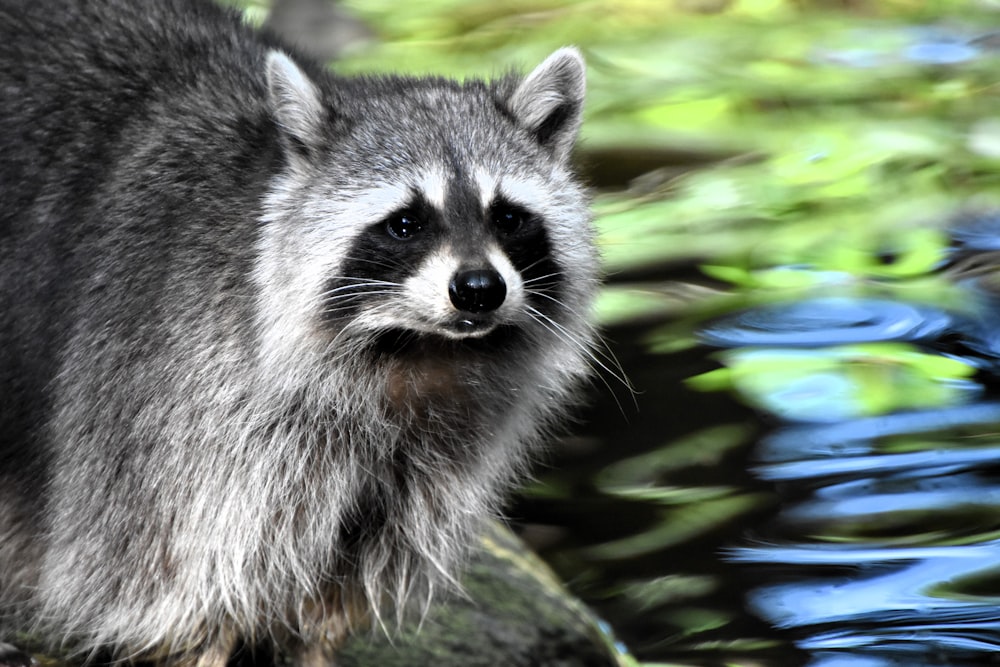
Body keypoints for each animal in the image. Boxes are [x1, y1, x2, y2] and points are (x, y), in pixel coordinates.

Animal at [0, 0, 592, 664]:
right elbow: (174, 584)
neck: (412, 353)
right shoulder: (175, 394)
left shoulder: (427, 461)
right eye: (406, 223)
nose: (479, 289)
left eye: (508, 217)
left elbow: (336, 587)